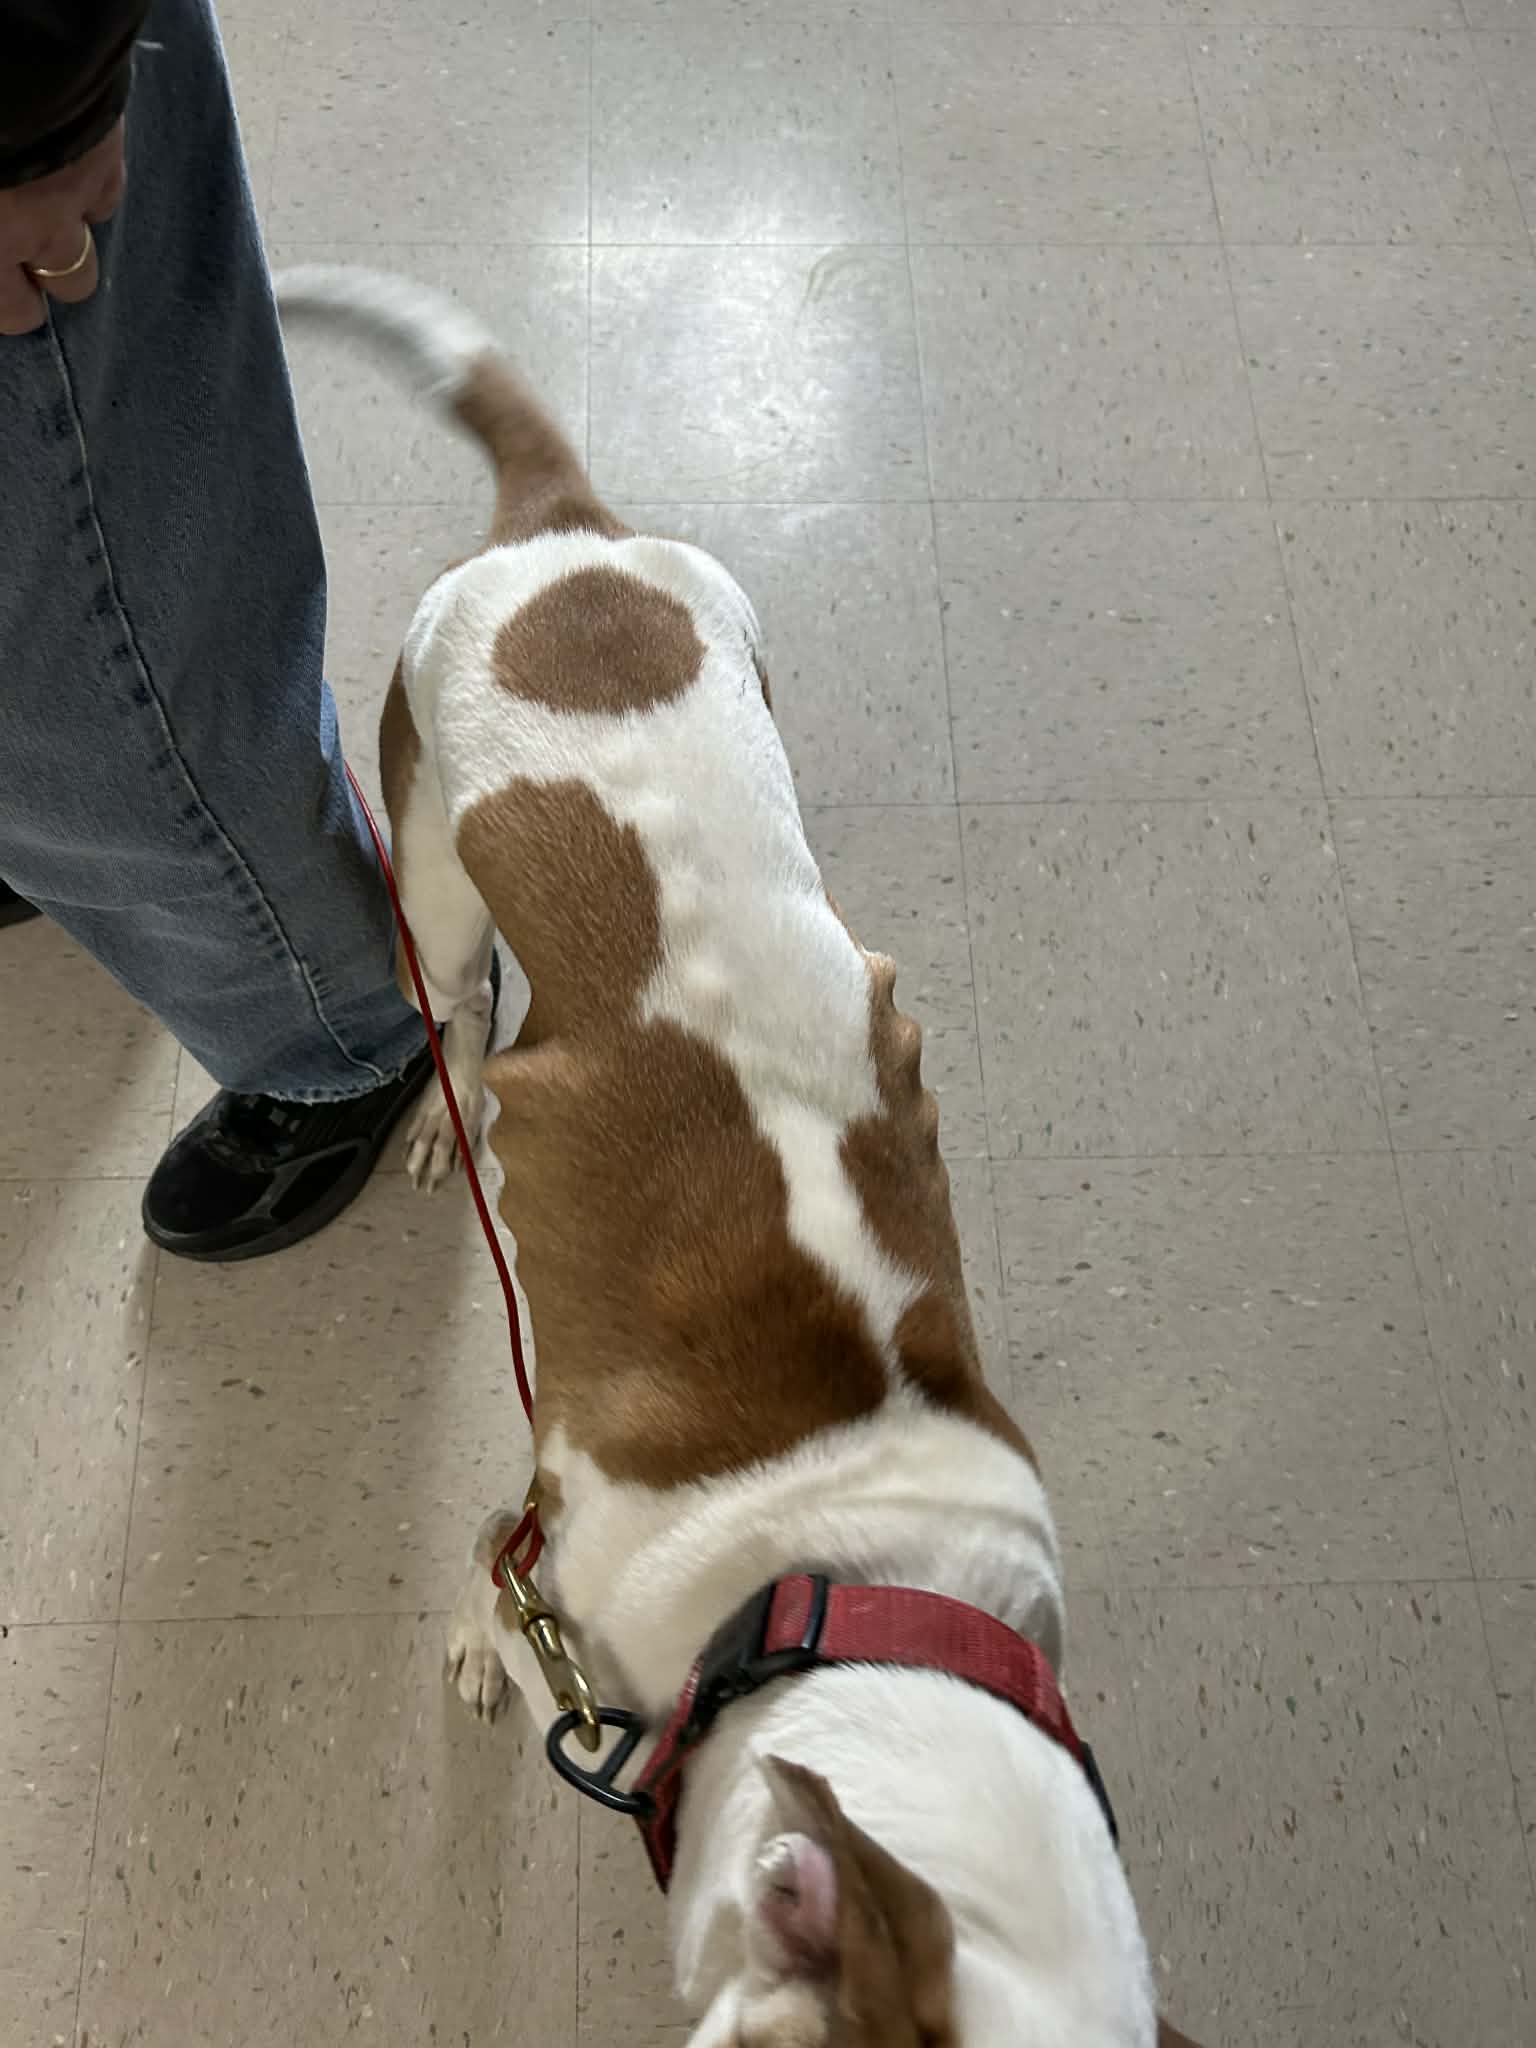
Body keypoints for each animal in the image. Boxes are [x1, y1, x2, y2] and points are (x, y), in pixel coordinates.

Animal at [276, 266, 1182, 2048]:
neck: (858, 1599)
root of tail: (567, 532)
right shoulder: (564, 1535)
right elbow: (493, 1570)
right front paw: (477, 1650)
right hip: (434, 882)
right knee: (458, 1010)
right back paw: (446, 1110)